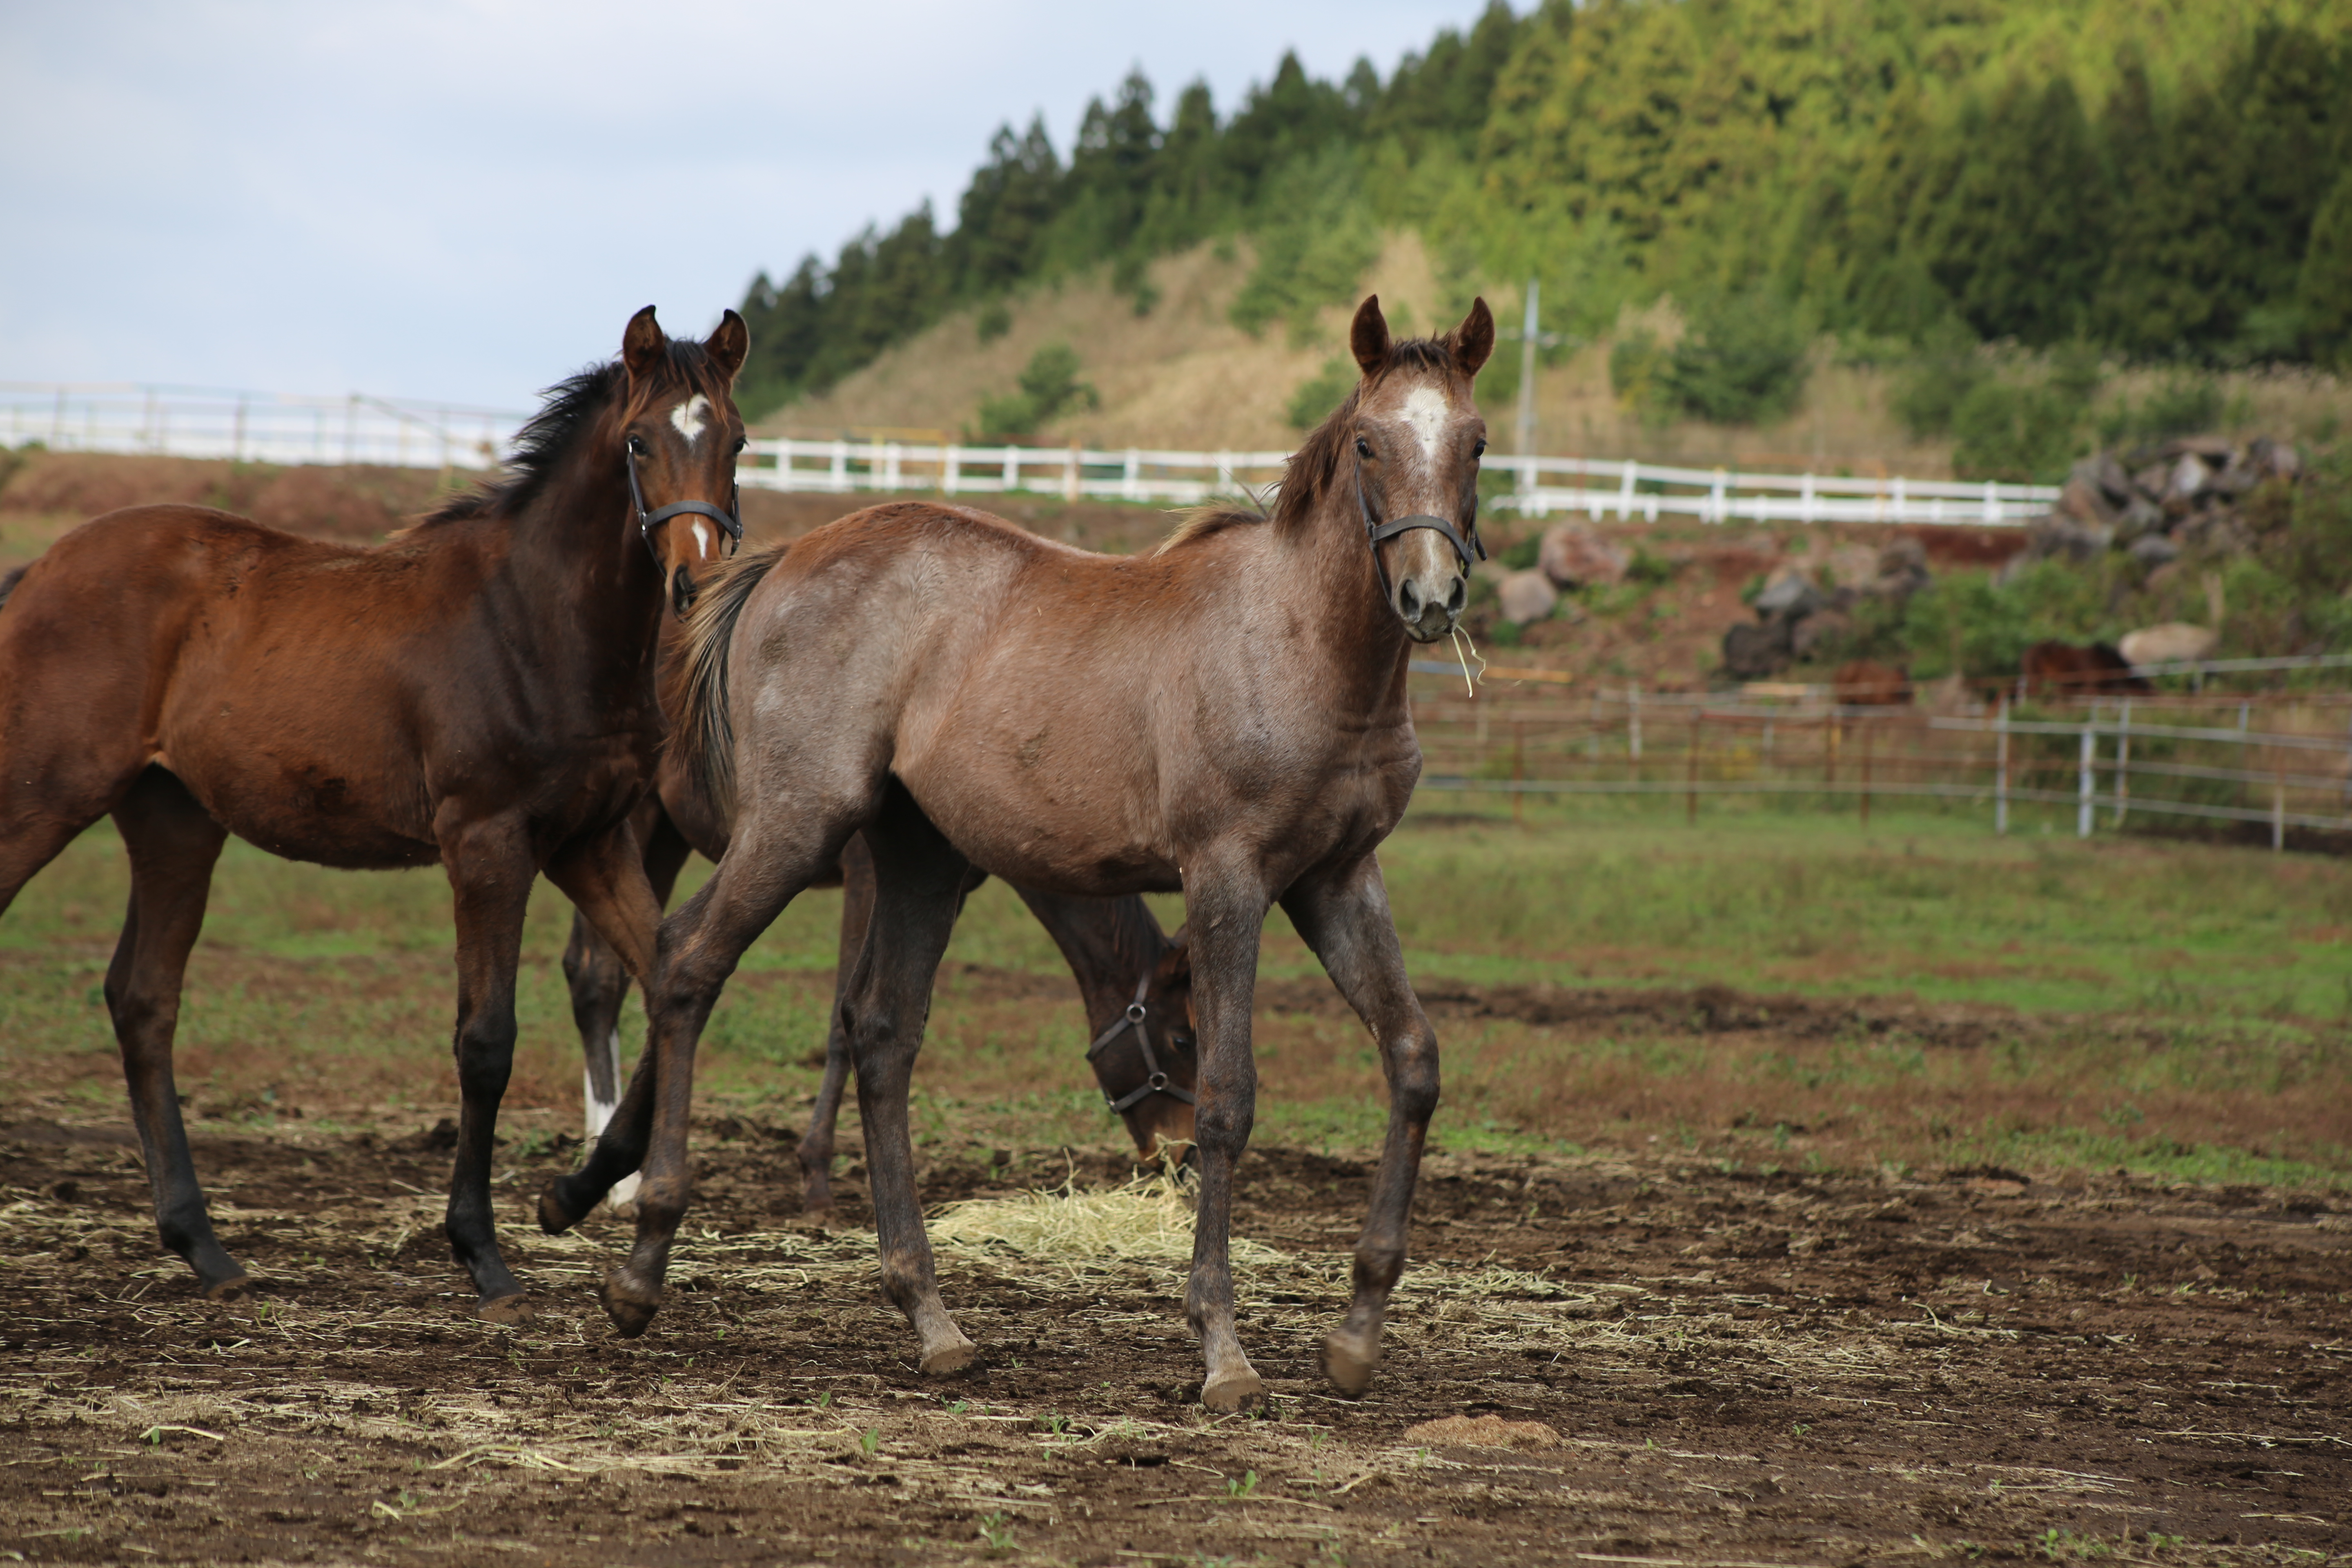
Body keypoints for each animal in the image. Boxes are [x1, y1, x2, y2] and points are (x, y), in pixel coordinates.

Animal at [0, 305, 743, 1326]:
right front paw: (481, 1253)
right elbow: (487, 1042)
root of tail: (39, 569)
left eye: (738, 441)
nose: (693, 584)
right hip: (45, 798)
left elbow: (672, 984)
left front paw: (572, 1196)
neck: (533, 621)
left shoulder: (589, 845)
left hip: (175, 821)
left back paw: (205, 1247)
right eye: (639, 442)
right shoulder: (487, 843)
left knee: (143, 999)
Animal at [546, 294, 1486, 1410]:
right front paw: (1221, 1346)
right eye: (1369, 442)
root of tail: (779, 563)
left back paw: (930, 1315)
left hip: (919, 859)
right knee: (689, 965)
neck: (1308, 649)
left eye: (1475, 443)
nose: (1429, 598)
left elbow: (1413, 1058)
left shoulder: (1336, 878)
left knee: (879, 1033)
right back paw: (642, 1263)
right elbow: (1230, 1097)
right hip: (793, 824)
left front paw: (1356, 1331)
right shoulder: (1228, 878)